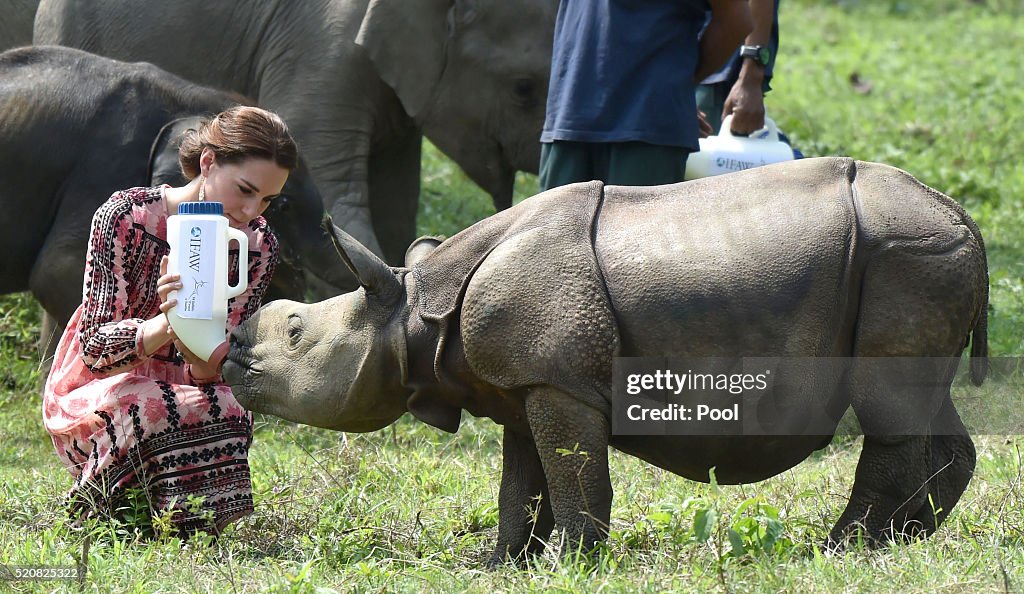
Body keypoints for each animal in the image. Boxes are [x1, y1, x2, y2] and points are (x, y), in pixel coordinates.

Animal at [222, 156, 983, 561]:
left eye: (295, 331)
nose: (229, 356)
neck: (414, 313)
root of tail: (964, 219)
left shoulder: (559, 380)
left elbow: (571, 476)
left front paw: (571, 563)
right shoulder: (523, 383)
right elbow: (522, 484)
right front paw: (501, 564)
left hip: (905, 254)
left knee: (888, 408)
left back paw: (841, 550)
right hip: (917, 258)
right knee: (923, 403)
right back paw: (908, 541)